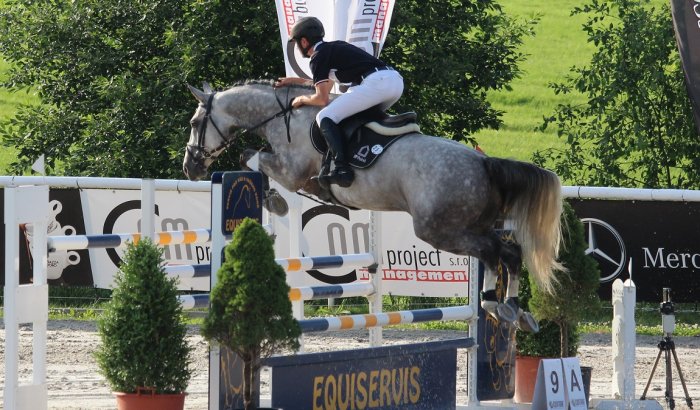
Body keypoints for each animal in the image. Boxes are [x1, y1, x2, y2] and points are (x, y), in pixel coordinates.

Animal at [183, 80, 564, 332]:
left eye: (194, 123)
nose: (190, 167)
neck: (282, 117)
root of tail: (484, 163)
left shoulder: (292, 172)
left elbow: (251, 159)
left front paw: (274, 200)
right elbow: (253, 160)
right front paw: (272, 199)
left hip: (440, 229)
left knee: (492, 253)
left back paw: (494, 304)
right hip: (474, 224)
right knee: (509, 253)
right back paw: (514, 309)